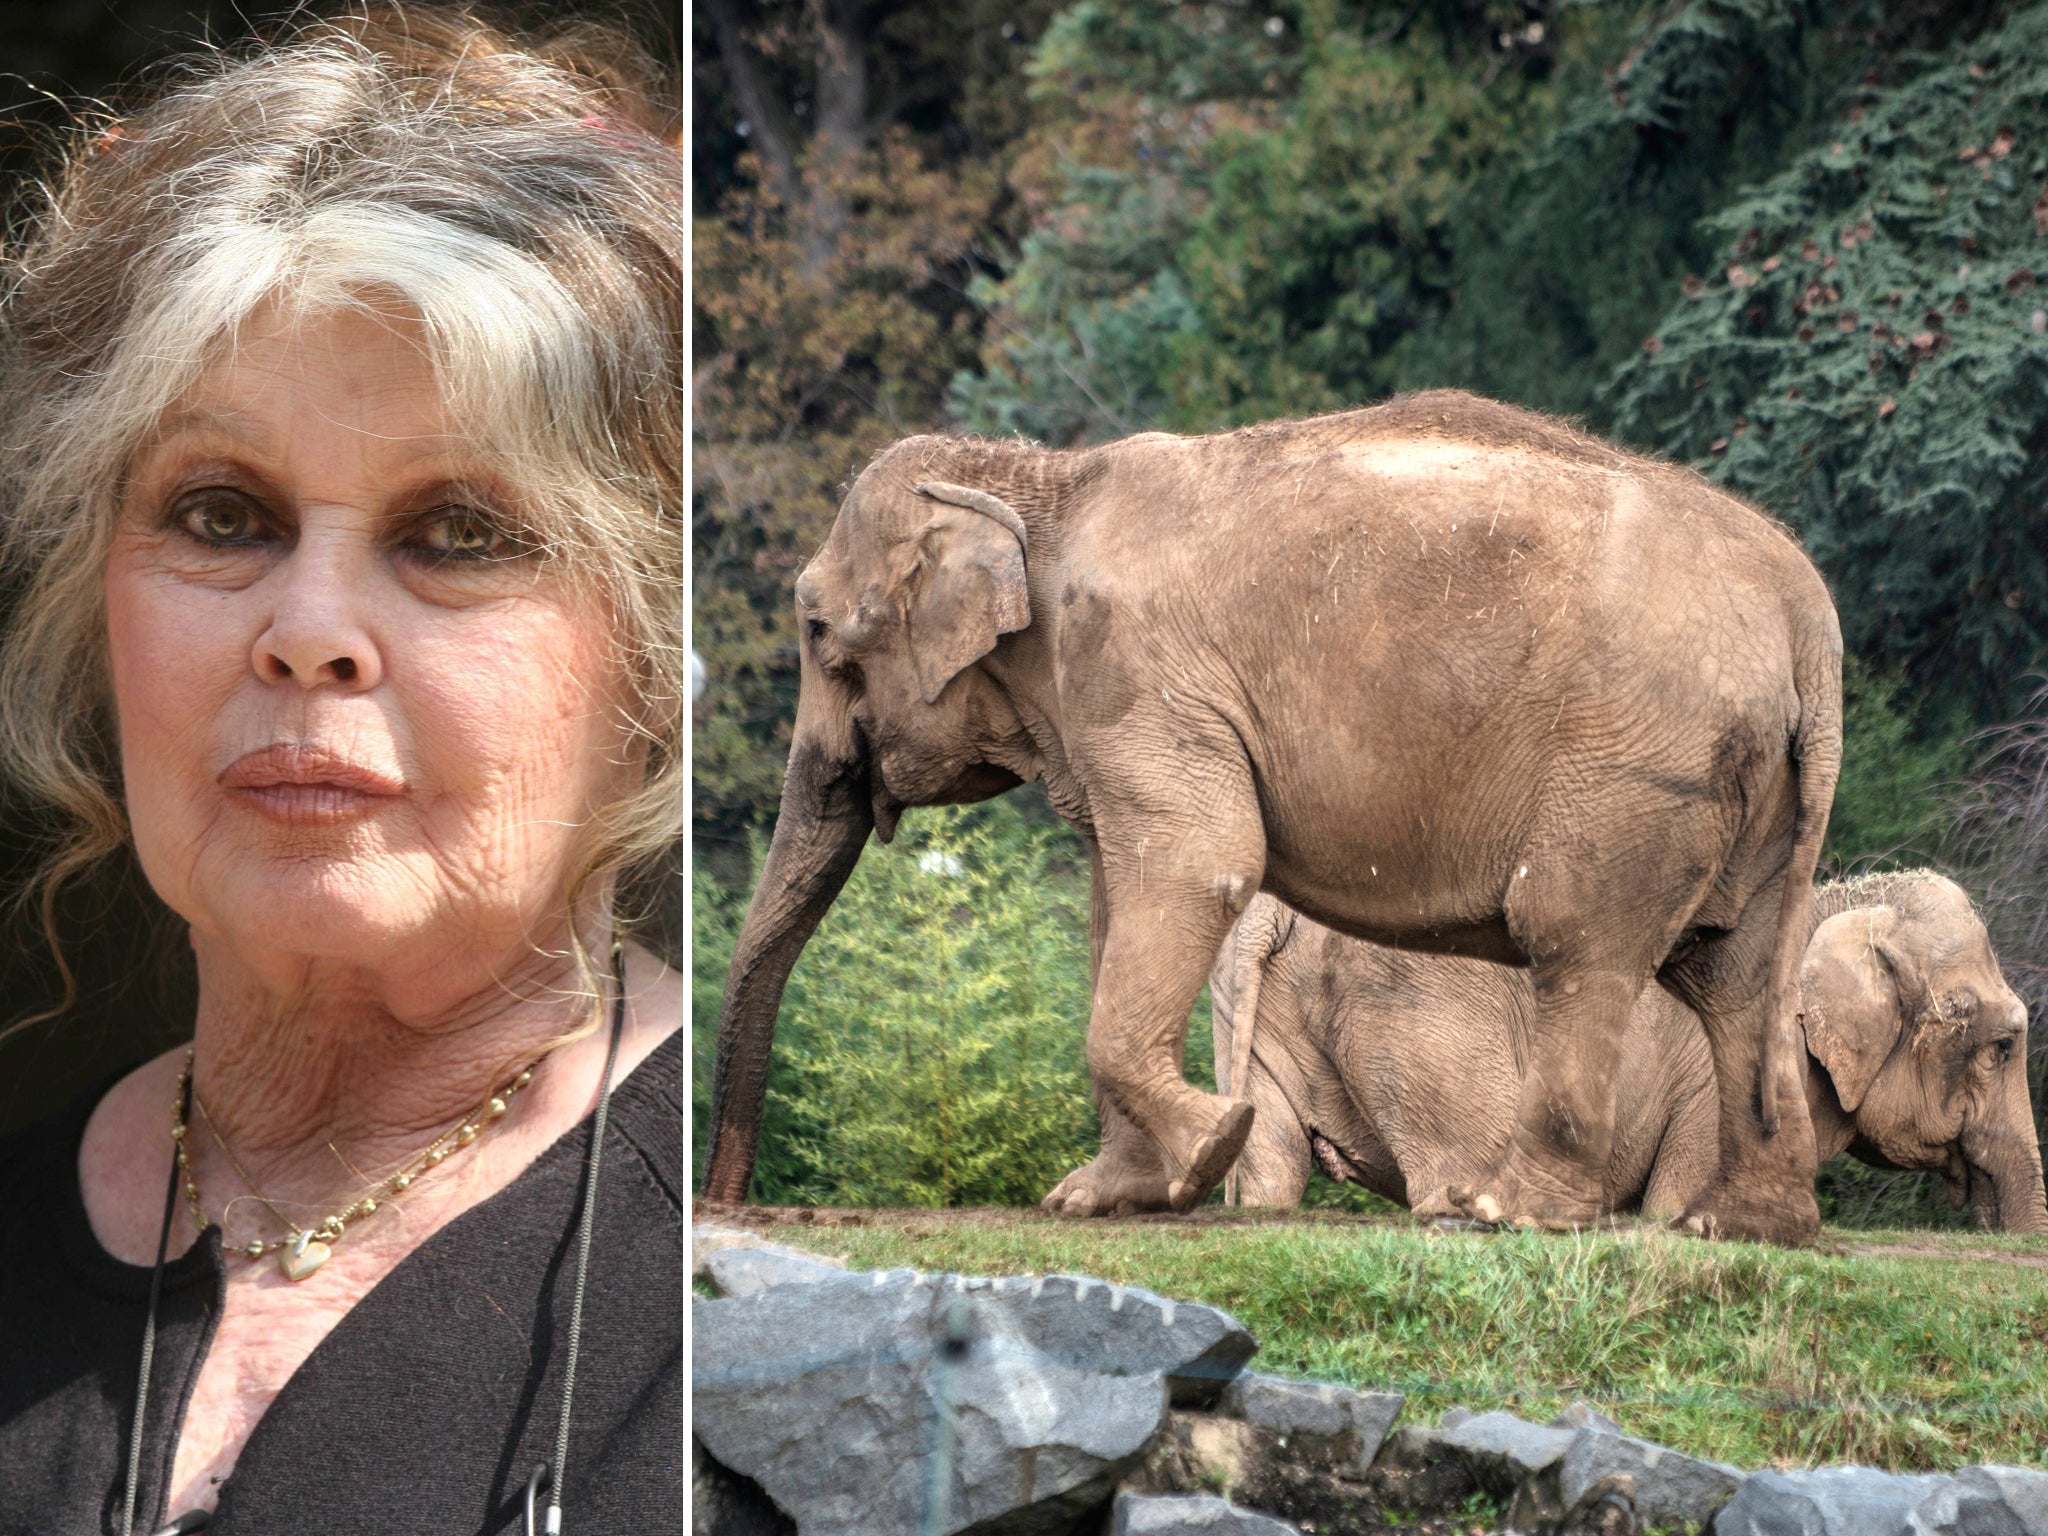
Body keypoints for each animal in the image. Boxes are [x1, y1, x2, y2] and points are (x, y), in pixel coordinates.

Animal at [700, 387, 1843, 1253]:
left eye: (817, 632)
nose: (729, 1203)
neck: (1042, 481)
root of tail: (1809, 618)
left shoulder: (1138, 671)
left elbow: (1197, 865)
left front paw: (1205, 1146)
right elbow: (1120, 896)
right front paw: (1103, 1199)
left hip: (1635, 767)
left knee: (1576, 940)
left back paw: (1502, 1214)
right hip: (1757, 789)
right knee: (1735, 969)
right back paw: (1741, 1228)